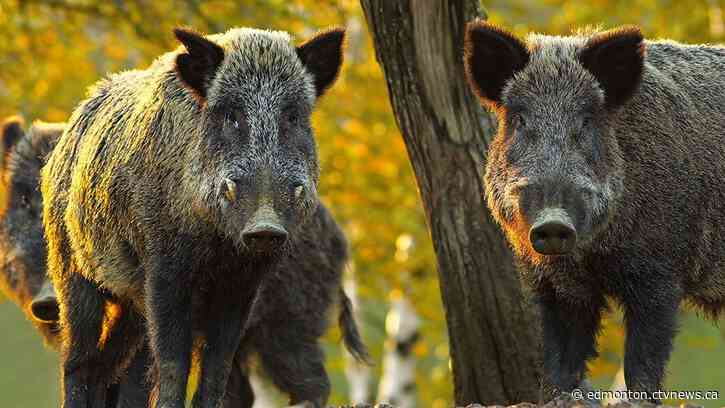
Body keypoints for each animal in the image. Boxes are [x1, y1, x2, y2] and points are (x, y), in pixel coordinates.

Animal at [41, 25, 364, 408]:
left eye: (292, 117)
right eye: (231, 116)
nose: (265, 225)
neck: (218, 245)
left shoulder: (245, 281)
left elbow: (217, 364)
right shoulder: (164, 266)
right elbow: (173, 361)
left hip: (133, 301)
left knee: (105, 364)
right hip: (70, 265)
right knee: (77, 358)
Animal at [463, 21, 725, 403]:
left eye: (587, 121)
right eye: (519, 119)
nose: (553, 223)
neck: (590, 255)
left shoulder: (660, 273)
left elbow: (643, 362)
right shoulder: (555, 284)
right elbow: (561, 360)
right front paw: (561, 397)